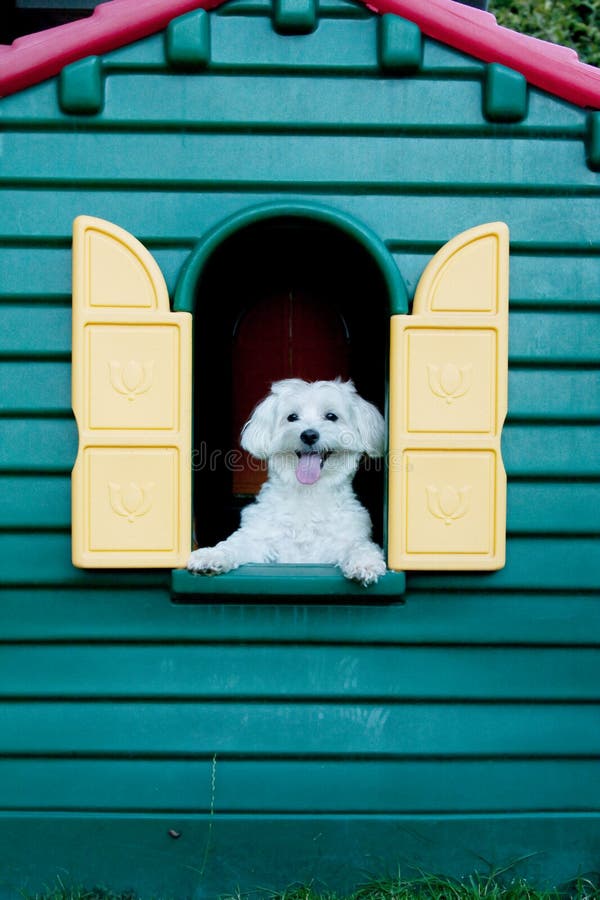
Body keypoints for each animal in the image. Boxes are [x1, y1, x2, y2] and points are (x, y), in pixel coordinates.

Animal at [185, 378, 386, 584]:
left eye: (331, 416)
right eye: (292, 417)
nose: (309, 435)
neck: (308, 493)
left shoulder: (344, 539)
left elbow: (360, 546)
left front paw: (364, 563)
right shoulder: (259, 538)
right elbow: (234, 544)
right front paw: (210, 555)